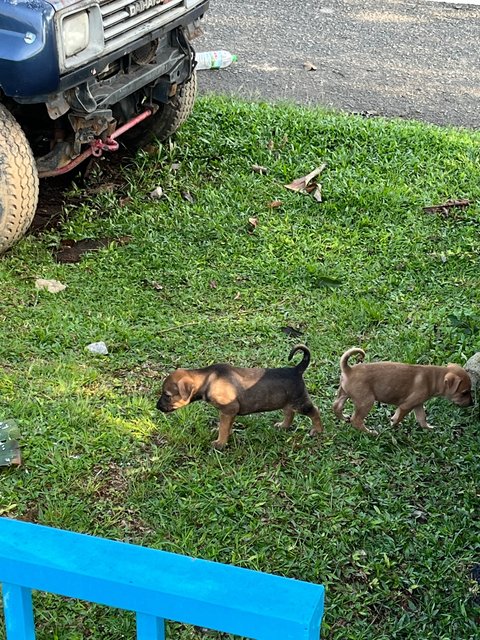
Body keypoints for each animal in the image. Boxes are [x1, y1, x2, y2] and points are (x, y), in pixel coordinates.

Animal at [158, 344, 322, 450]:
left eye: (167, 395)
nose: (157, 407)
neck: (207, 380)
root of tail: (297, 370)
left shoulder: (228, 409)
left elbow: (223, 427)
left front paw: (220, 443)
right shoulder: (229, 412)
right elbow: (226, 426)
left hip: (300, 402)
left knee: (315, 411)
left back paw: (317, 431)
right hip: (287, 401)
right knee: (289, 413)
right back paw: (283, 426)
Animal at [332, 348, 470, 438]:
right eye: (464, 392)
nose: (471, 403)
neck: (434, 378)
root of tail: (348, 369)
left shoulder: (418, 404)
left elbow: (422, 419)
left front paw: (429, 428)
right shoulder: (406, 406)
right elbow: (399, 417)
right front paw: (393, 425)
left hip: (343, 393)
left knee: (336, 406)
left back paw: (344, 418)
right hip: (366, 401)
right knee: (356, 420)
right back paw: (370, 432)